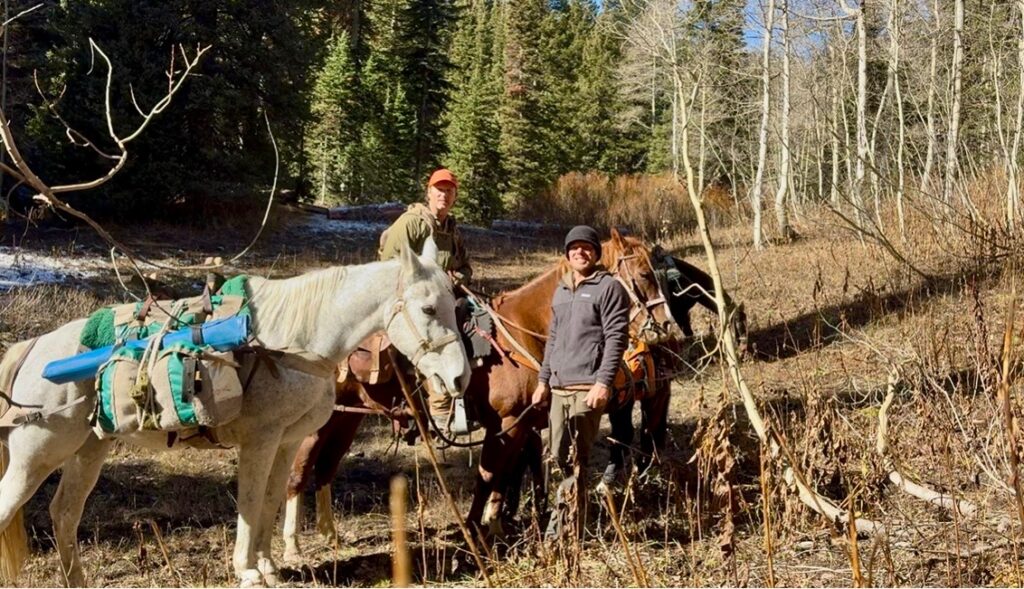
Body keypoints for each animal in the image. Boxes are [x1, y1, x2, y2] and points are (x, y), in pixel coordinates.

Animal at [0, 243, 472, 588]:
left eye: (456, 306)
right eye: (429, 309)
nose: (459, 377)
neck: (295, 339)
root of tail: (30, 349)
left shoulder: (285, 442)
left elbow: (272, 497)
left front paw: (268, 564)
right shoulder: (260, 440)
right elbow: (250, 499)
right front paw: (247, 569)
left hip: (89, 449)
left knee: (64, 513)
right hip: (37, 453)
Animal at [281, 228, 675, 556]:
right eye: (644, 275)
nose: (667, 326)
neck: (521, 333)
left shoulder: (518, 424)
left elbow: (504, 474)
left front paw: (496, 525)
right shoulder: (506, 422)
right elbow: (488, 475)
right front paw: (473, 528)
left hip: (345, 419)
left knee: (327, 467)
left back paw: (330, 535)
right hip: (317, 423)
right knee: (299, 472)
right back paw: (292, 547)